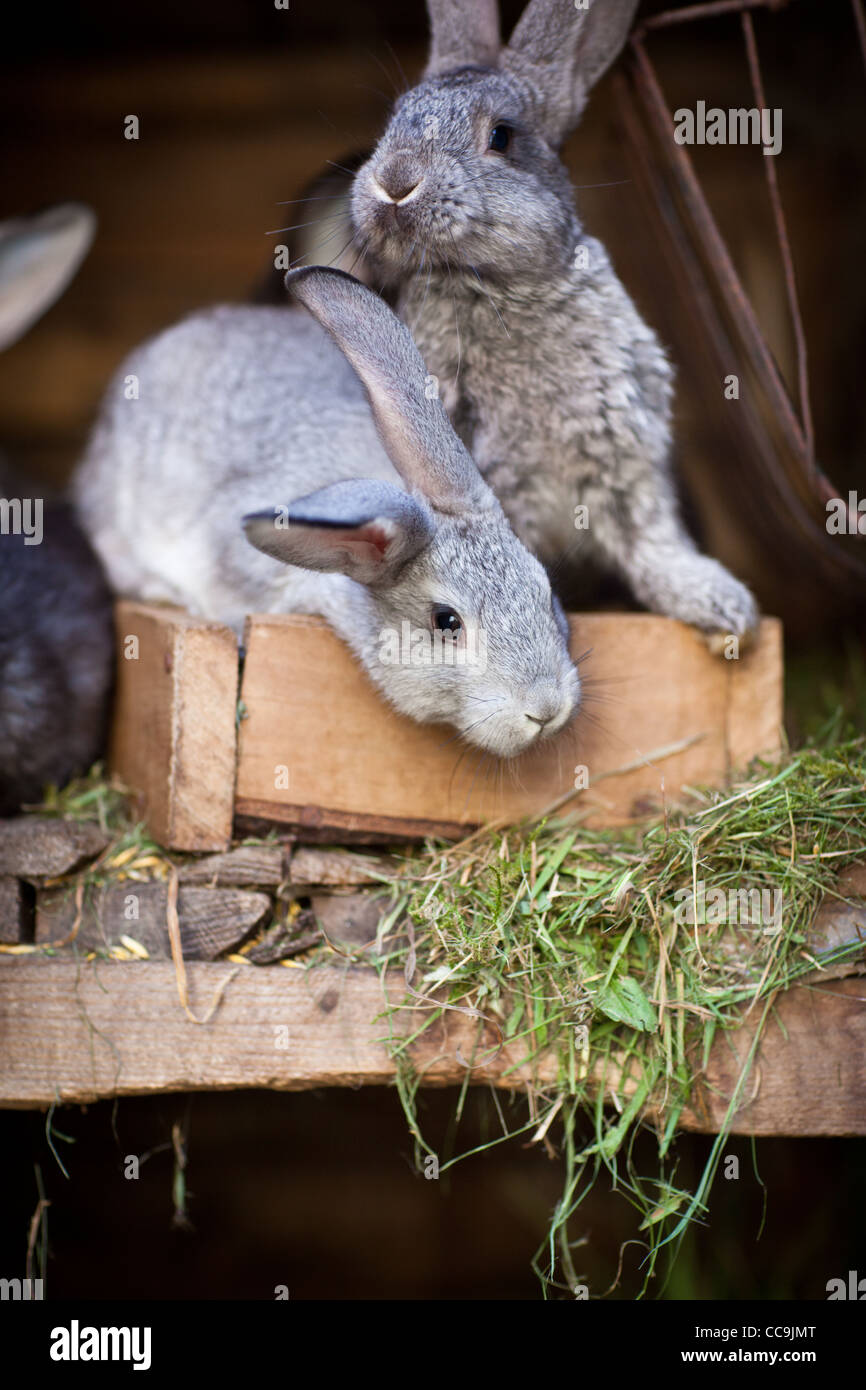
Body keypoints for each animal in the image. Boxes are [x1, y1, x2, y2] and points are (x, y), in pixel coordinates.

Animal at [342, 0, 759, 639]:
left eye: (501, 136)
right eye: (393, 122)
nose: (394, 182)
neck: (496, 286)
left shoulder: (626, 453)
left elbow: (651, 540)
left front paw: (723, 607)